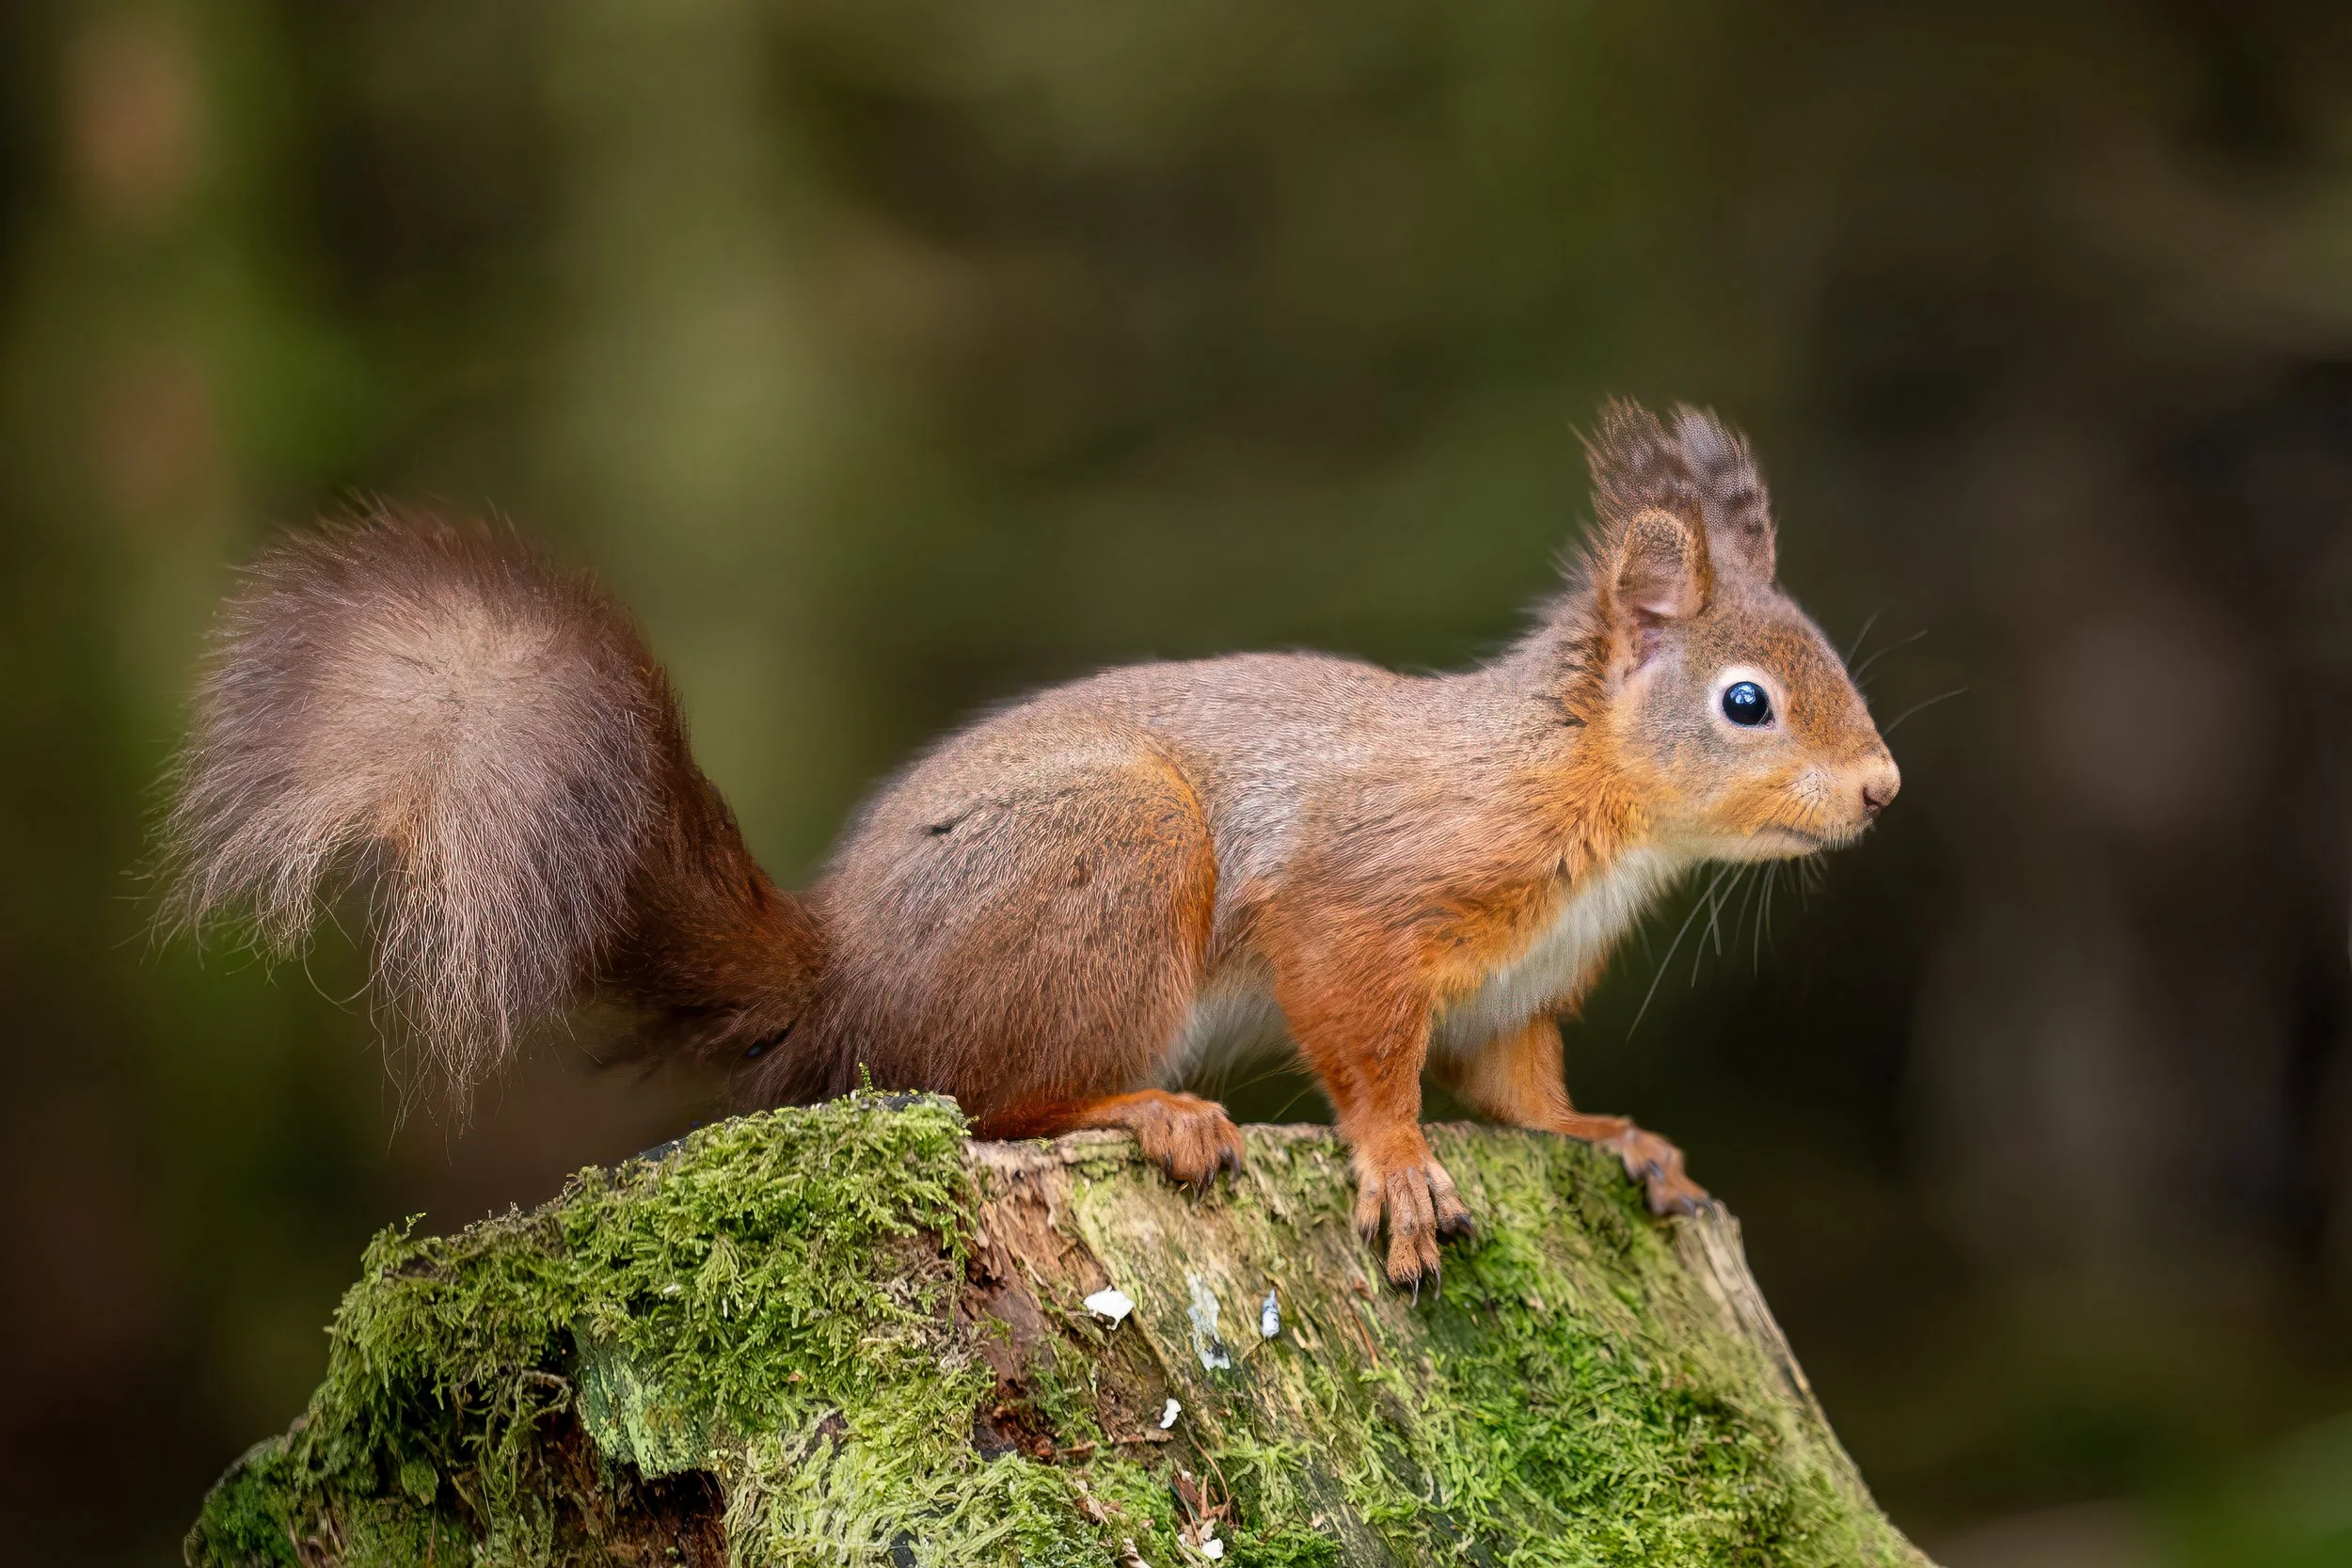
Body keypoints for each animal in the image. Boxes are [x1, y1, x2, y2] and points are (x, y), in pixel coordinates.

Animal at [160, 399, 1899, 1288]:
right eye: (1747, 701)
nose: (1883, 790)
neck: (1596, 810)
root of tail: (840, 971)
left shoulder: (1517, 992)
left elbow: (1519, 1091)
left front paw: (1620, 1138)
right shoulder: (1366, 894)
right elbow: (1368, 1050)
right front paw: (1399, 1169)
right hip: (1119, 856)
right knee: (983, 1097)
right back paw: (1153, 1110)